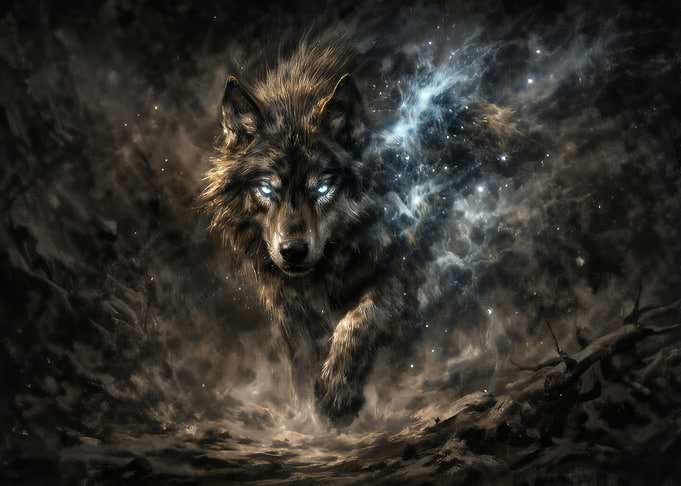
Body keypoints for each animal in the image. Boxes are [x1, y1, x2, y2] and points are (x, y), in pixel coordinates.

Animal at [199, 31, 471, 425]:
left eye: (323, 187)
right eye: (266, 189)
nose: (293, 252)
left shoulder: (405, 270)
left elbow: (358, 321)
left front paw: (335, 394)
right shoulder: (288, 303)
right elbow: (301, 356)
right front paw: (306, 414)